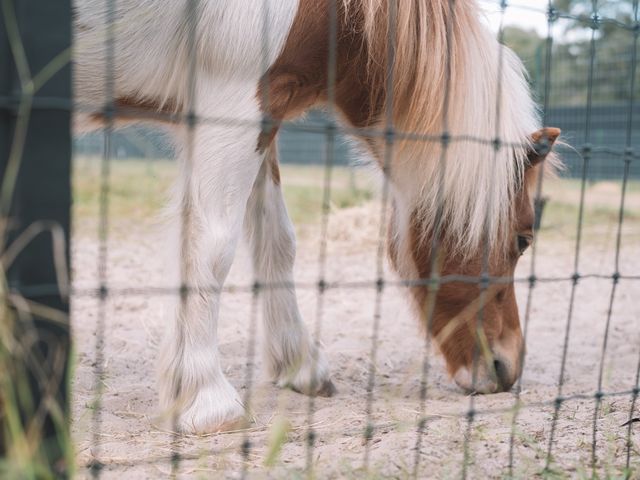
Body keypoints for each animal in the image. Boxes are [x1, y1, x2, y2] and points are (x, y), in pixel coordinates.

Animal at [74, 0, 560, 436]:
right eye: (523, 239)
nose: (506, 366)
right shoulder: (235, 106)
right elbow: (213, 247)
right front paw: (208, 400)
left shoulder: (267, 111)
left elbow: (275, 240)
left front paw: (299, 364)